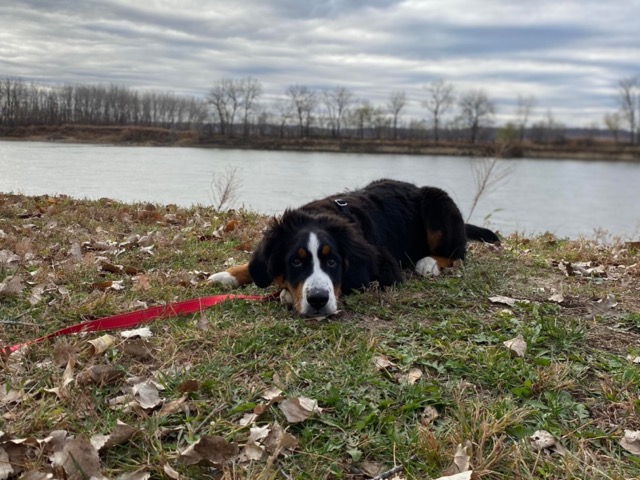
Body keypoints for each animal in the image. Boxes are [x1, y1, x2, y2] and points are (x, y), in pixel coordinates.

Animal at [210, 178, 500, 316]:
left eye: (332, 261)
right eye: (296, 261)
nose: (318, 300)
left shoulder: (384, 268)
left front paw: (286, 293)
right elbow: (255, 266)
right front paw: (228, 275)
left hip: (437, 201)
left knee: (458, 253)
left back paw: (428, 263)